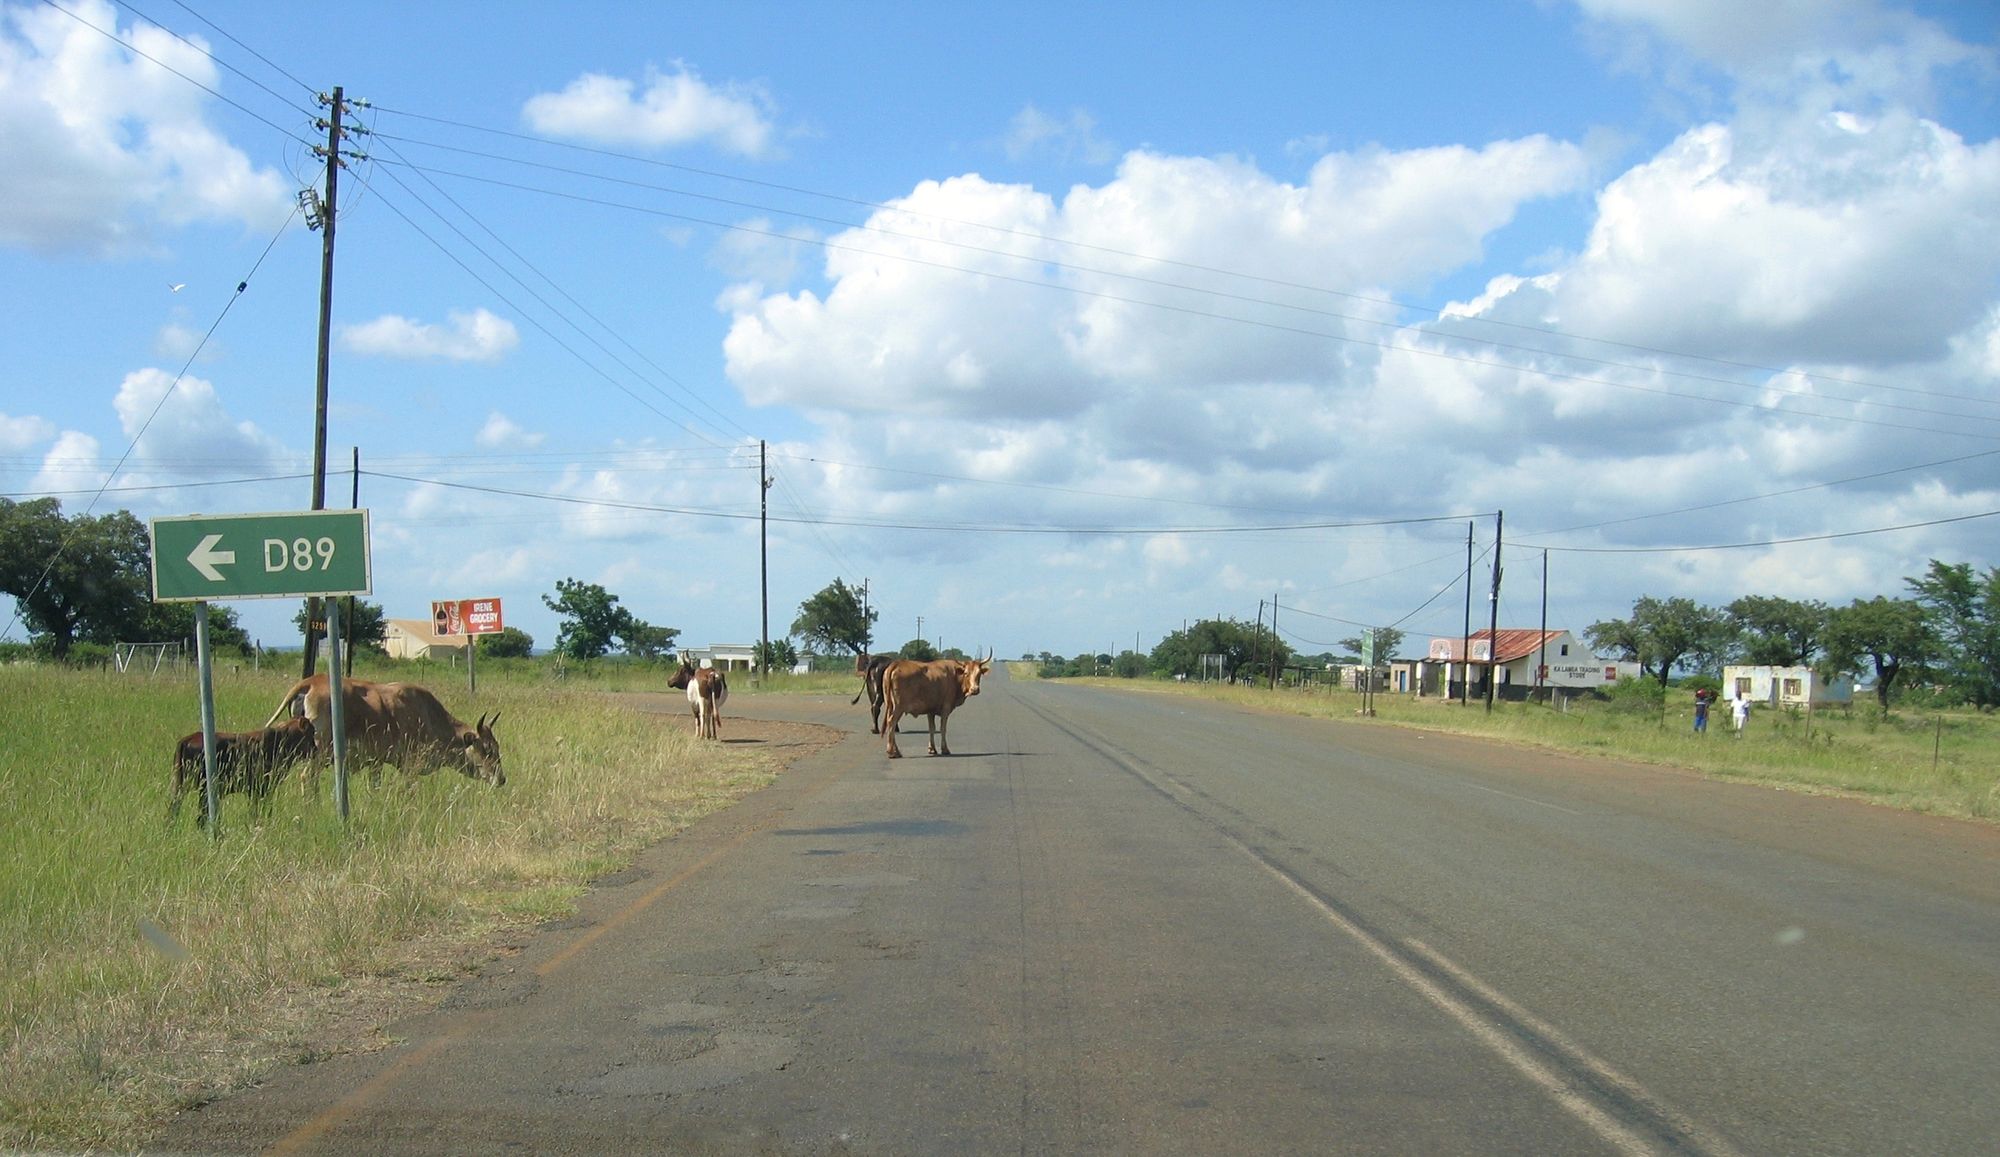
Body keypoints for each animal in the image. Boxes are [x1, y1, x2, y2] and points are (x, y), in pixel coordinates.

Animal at [168, 716, 316, 824]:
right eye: (311, 733)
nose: (316, 750)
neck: (282, 740)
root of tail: (187, 739)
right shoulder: (261, 789)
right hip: (203, 790)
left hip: (182, 787)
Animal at [264, 664, 508, 784]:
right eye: (486, 749)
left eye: (497, 748)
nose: (501, 779)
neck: (428, 715)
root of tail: (314, 681)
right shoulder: (410, 766)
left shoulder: (376, 763)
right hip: (320, 753)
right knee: (308, 778)